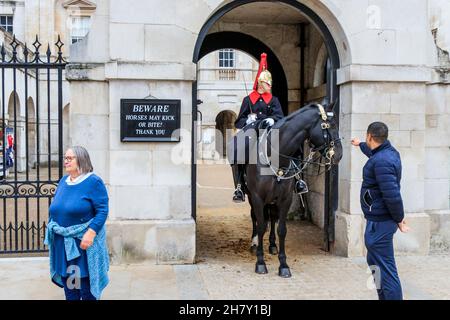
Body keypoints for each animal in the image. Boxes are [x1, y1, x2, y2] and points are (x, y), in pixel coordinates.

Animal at [236, 102, 342, 278]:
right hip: (252, 197)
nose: (339, 155)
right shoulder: (257, 198)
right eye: (329, 126)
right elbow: (261, 226)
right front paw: (260, 262)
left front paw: (283, 265)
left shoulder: (285, 199)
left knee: (272, 218)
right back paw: (254, 242)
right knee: (255, 218)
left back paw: (272, 245)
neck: (275, 157)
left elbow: (282, 229)